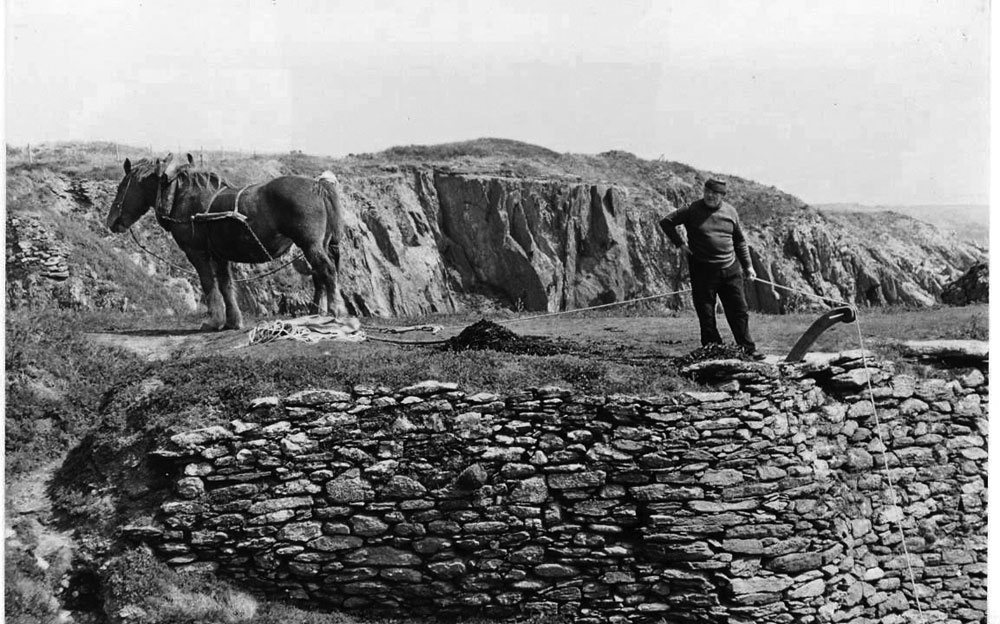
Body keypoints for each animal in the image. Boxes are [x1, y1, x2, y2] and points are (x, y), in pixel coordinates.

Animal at [106, 155, 348, 332]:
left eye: (121, 187)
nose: (111, 221)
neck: (179, 196)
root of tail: (319, 186)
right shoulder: (220, 255)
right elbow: (226, 285)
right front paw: (232, 321)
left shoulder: (197, 252)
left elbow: (208, 284)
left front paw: (214, 320)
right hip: (319, 245)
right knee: (321, 275)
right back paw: (319, 312)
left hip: (310, 245)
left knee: (327, 271)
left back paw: (334, 312)